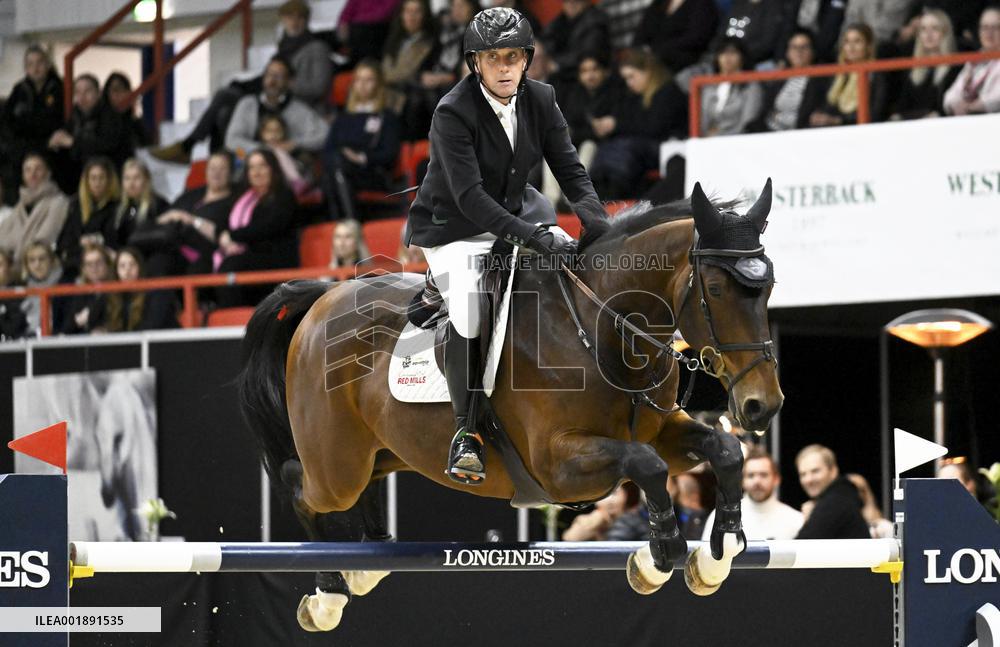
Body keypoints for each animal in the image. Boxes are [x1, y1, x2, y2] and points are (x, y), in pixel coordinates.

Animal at [239, 179, 784, 631]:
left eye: (769, 287)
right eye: (716, 289)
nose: (763, 406)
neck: (601, 328)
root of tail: (322, 300)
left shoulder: (664, 430)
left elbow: (723, 451)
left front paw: (716, 554)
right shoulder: (557, 465)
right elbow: (646, 465)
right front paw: (658, 555)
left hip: (382, 452)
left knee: (359, 490)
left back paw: (364, 565)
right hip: (336, 467)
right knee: (301, 486)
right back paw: (329, 594)